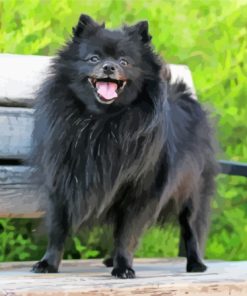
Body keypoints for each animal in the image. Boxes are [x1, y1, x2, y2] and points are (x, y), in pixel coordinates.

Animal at [31, 13, 218, 278]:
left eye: (124, 61)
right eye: (94, 58)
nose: (109, 66)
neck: (103, 121)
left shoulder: (140, 192)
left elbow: (127, 233)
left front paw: (123, 266)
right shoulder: (62, 185)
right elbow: (58, 229)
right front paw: (48, 263)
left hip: (193, 191)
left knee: (191, 227)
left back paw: (195, 263)